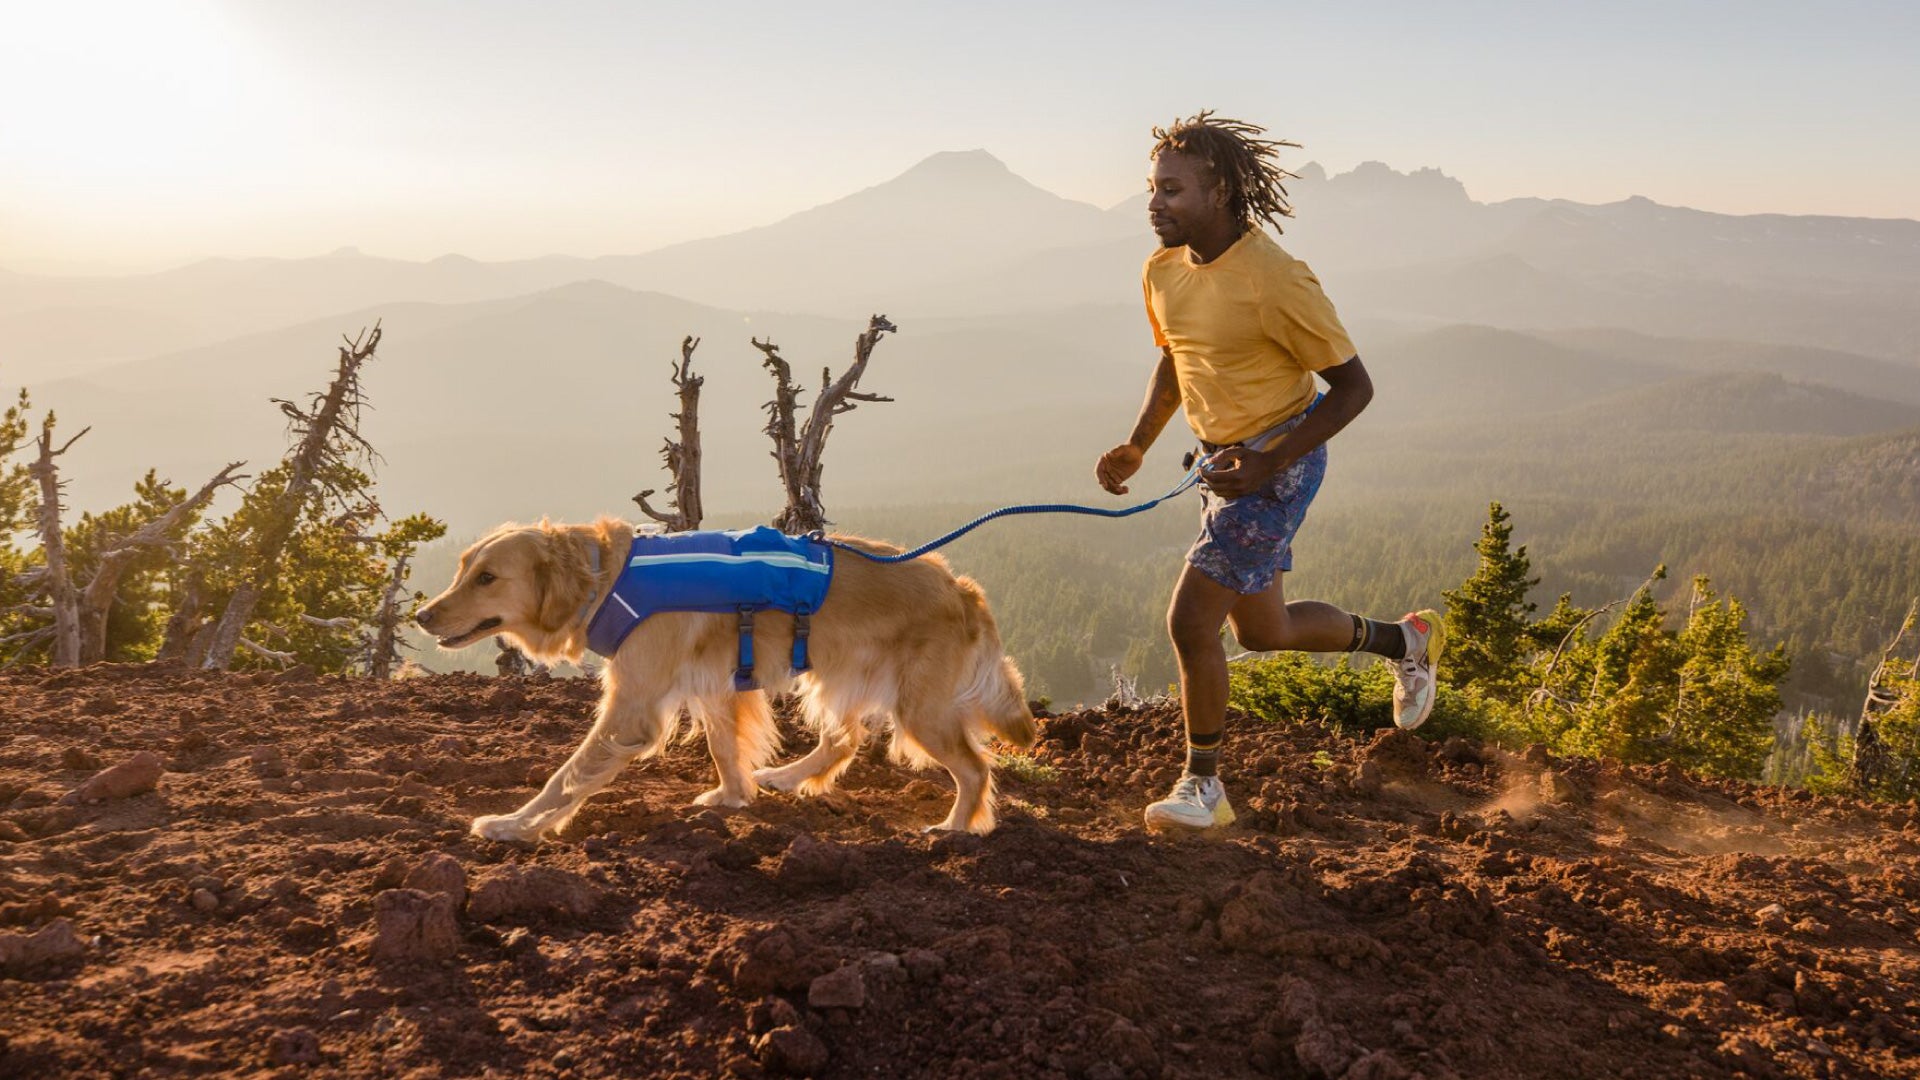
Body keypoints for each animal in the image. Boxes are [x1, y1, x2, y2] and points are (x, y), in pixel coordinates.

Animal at [416, 518, 1036, 841]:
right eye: (462, 569)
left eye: (488, 578)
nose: (421, 615)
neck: (606, 579)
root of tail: (960, 588)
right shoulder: (713, 688)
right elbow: (723, 748)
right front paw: (735, 796)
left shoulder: (632, 708)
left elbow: (566, 776)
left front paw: (516, 825)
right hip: (841, 676)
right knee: (843, 740)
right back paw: (787, 777)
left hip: (920, 708)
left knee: (974, 768)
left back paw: (956, 828)